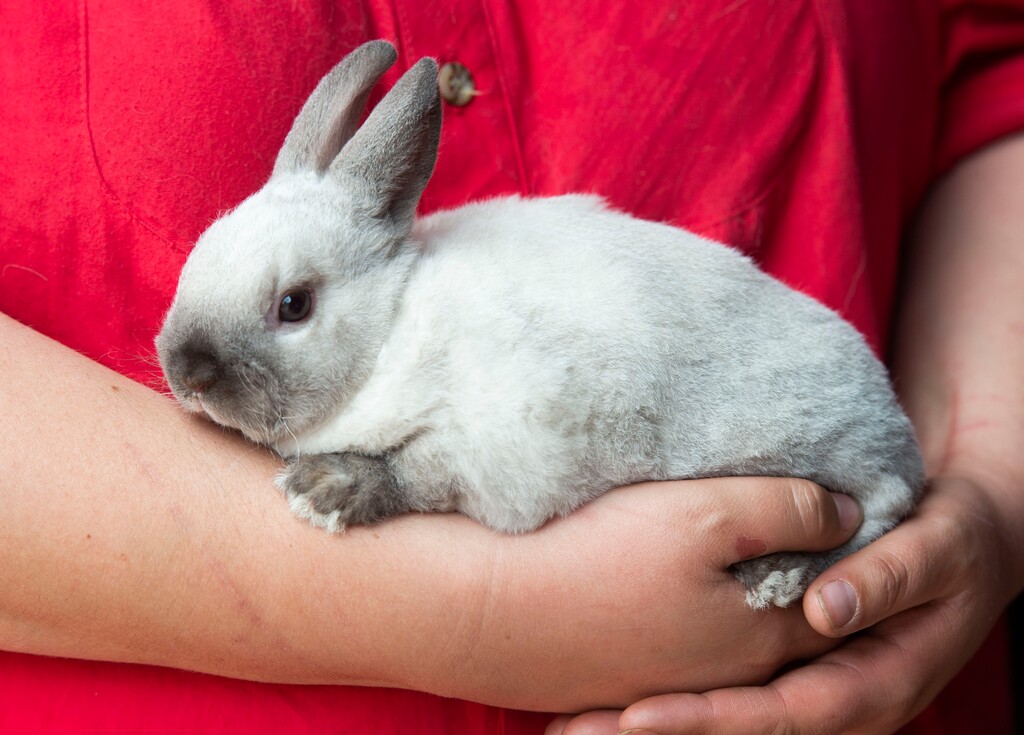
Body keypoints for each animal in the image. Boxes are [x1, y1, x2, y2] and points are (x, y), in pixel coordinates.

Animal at [156, 40, 925, 610]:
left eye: (294, 305)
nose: (185, 372)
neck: (389, 327)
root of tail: (901, 430)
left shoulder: (515, 439)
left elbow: (421, 469)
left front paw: (325, 491)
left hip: (835, 449)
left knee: (882, 512)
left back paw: (778, 575)